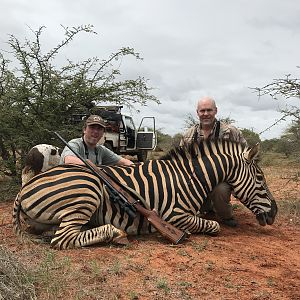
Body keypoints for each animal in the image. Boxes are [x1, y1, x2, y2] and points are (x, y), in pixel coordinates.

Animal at [12, 139, 278, 250]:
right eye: (260, 178)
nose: (275, 212)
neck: (190, 177)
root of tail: (25, 187)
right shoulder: (175, 216)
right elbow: (213, 226)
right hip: (88, 190)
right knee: (63, 239)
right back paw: (116, 234)